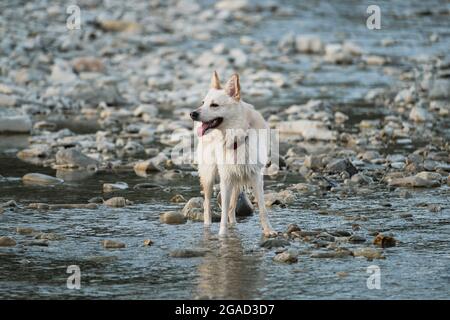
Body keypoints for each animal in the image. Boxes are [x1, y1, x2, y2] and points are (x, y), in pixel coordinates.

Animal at [191, 72, 278, 238]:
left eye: (214, 105)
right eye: (203, 102)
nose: (192, 113)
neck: (237, 137)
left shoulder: (256, 177)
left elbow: (262, 209)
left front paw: (268, 230)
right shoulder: (225, 178)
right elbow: (223, 211)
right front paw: (222, 235)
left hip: (237, 179)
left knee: (232, 208)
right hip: (209, 175)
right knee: (207, 205)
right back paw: (208, 227)